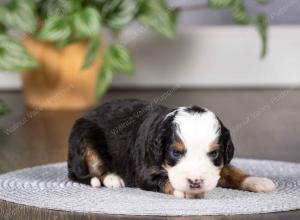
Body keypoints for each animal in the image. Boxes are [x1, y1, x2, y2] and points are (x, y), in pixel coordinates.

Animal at [67, 99, 276, 199]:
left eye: (214, 153)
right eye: (176, 152)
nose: (195, 182)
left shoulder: (219, 164)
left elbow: (231, 170)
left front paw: (257, 181)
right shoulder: (145, 172)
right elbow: (164, 179)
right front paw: (185, 191)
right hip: (84, 138)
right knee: (84, 170)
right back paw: (110, 178)